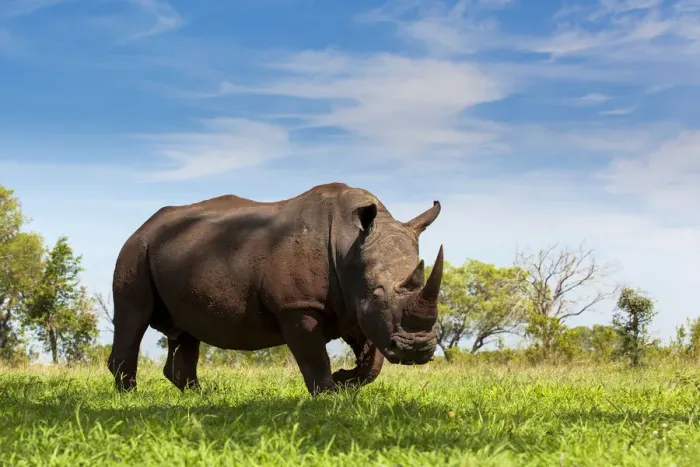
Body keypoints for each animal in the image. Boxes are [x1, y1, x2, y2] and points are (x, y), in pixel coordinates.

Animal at [108, 182, 444, 395]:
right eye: (377, 292)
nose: (416, 350)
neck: (348, 241)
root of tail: (143, 226)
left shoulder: (354, 305)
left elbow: (372, 361)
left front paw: (345, 380)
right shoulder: (297, 304)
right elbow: (314, 356)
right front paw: (329, 394)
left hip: (178, 253)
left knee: (185, 329)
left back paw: (199, 396)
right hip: (135, 249)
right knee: (133, 316)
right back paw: (130, 397)